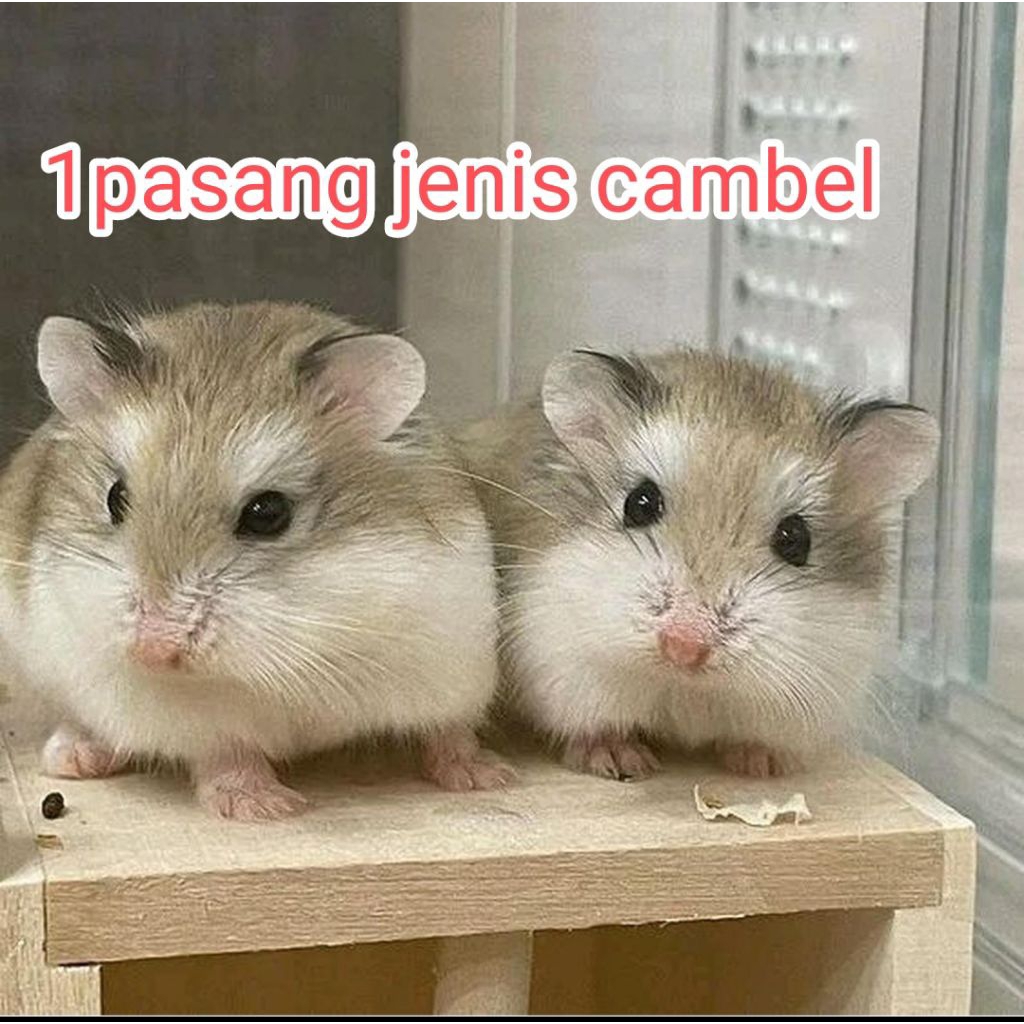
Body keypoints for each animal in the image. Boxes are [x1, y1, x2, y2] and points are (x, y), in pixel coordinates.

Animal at [0, 301, 510, 819]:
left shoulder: (449, 663)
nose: (153, 652)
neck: (308, 644)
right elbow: (228, 754)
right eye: (115, 498)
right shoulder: (199, 723)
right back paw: (73, 758)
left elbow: (450, 731)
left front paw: (488, 778)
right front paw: (267, 807)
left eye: (268, 514)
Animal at [458, 348, 939, 779]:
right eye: (639, 503)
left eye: (795, 540)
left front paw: (764, 766)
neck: (683, 686)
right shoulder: (565, 665)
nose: (684, 648)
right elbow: (594, 726)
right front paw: (620, 761)